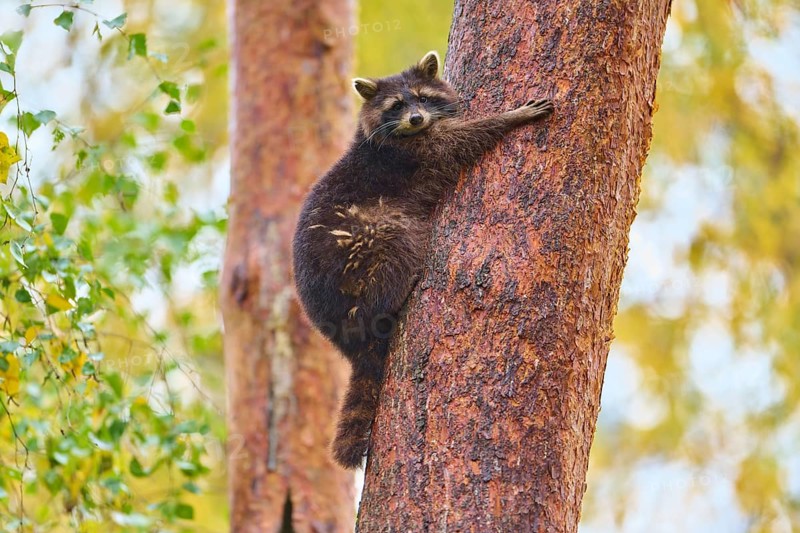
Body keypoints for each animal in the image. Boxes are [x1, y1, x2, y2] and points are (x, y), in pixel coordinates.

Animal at [292, 51, 553, 469]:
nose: (416, 119)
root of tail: (345, 336)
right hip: (360, 250)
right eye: (397, 106)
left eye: (423, 98)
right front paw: (511, 117)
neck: (407, 134)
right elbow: (462, 138)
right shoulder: (416, 152)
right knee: (394, 241)